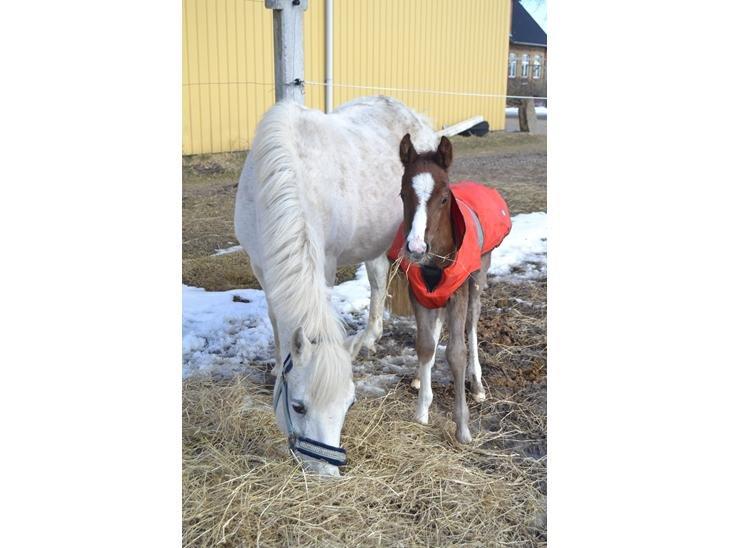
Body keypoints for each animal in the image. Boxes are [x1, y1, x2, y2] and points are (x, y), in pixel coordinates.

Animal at [236, 96, 436, 474]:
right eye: (298, 406)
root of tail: (416, 117)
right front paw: (276, 365)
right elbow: (275, 319)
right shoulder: (260, 266)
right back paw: (369, 338)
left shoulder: (324, 263)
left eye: (350, 404)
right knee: (377, 279)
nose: (327, 472)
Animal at [396, 134, 486, 446]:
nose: (415, 248)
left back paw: (478, 384)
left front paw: (463, 429)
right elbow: (425, 344)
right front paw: (422, 411)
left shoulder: (458, 292)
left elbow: (457, 353)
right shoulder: (418, 293)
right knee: (435, 331)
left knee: (472, 324)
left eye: (445, 198)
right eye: (402, 194)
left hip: (477, 281)